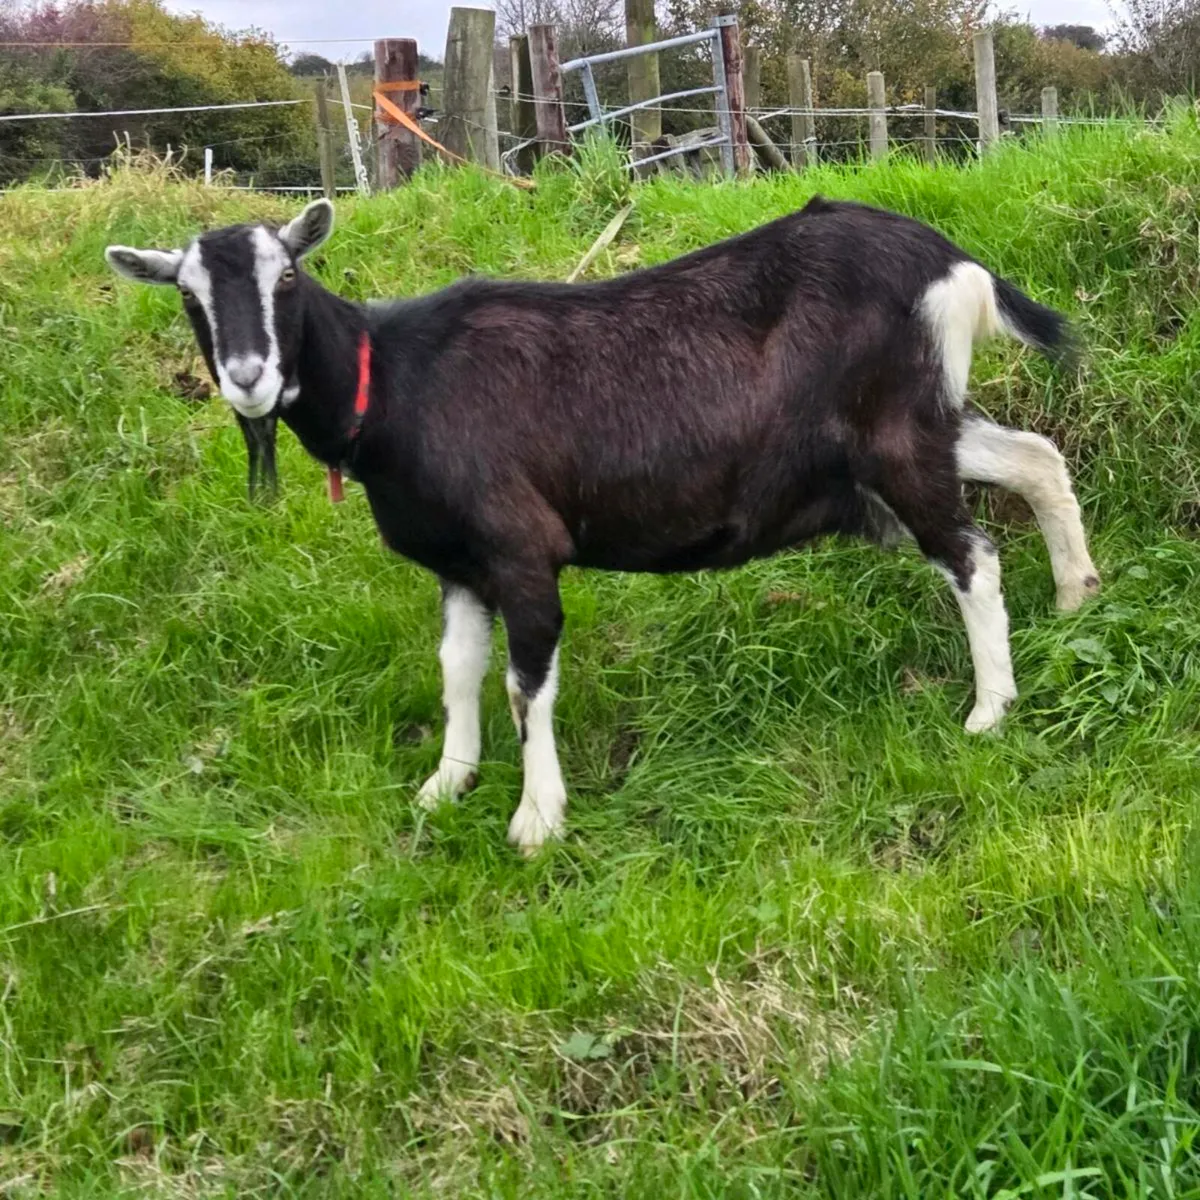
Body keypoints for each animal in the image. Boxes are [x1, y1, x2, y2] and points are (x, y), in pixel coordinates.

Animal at [105, 196, 1100, 854]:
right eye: (187, 293)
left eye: (288, 274)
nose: (248, 377)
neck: (392, 384)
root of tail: (953, 265)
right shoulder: (458, 564)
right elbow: (457, 669)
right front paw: (444, 784)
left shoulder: (520, 549)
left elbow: (523, 684)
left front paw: (535, 818)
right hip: (922, 424)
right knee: (1037, 459)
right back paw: (1077, 599)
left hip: (895, 438)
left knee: (971, 556)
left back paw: (990, 710)